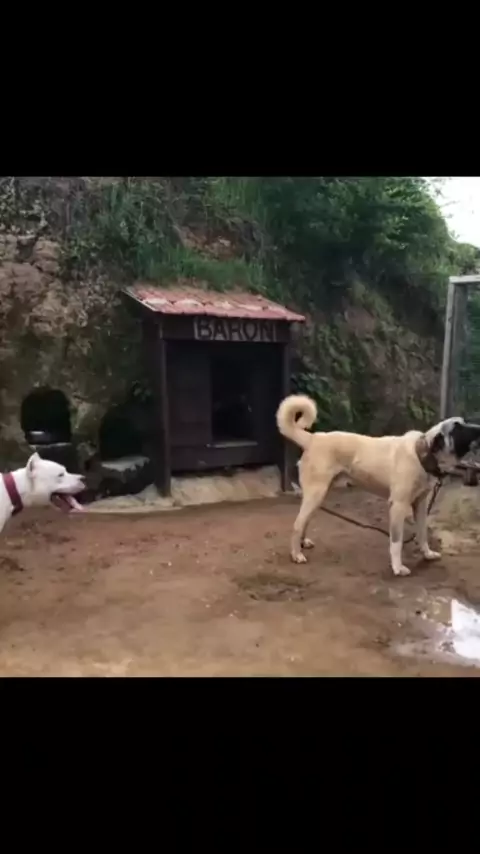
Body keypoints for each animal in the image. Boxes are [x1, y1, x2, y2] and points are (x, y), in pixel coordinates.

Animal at [276, 394, 480, 576]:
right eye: (458, 428)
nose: (478, 427)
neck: (421, 454)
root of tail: (313, 438)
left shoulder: (420, 505)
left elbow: (422, 533)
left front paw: (427, 554)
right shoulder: (398, 506)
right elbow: (396, 542)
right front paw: (398, 568)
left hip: (318, 495)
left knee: (304, 521)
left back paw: (303, 544)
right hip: (316, 494)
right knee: (297, 524)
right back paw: (296, 554)